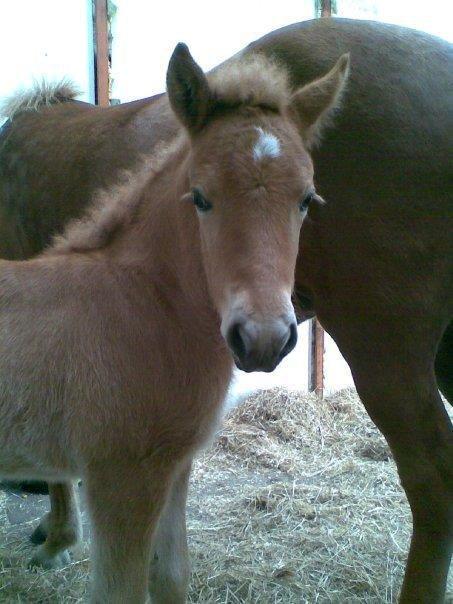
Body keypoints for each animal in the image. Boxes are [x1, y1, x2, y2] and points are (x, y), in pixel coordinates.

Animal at [1, 17, 450, 604]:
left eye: (308, 199)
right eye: (201, 197)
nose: (262, 338)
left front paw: (56, 537)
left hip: (388, 347)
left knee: (432, 477)